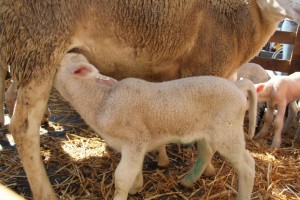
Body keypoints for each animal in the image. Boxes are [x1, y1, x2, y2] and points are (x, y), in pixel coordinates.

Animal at [54, 52, 255, 200]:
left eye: (58, 62)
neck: (102, 101)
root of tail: (238, 88)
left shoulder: (135, 140)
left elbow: (121, 178)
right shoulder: (136, 147)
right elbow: (135, 170)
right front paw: (136, 187)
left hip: (228, 131)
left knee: (247, 165)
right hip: (211, 131)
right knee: (207, 152)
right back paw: (188, 181)